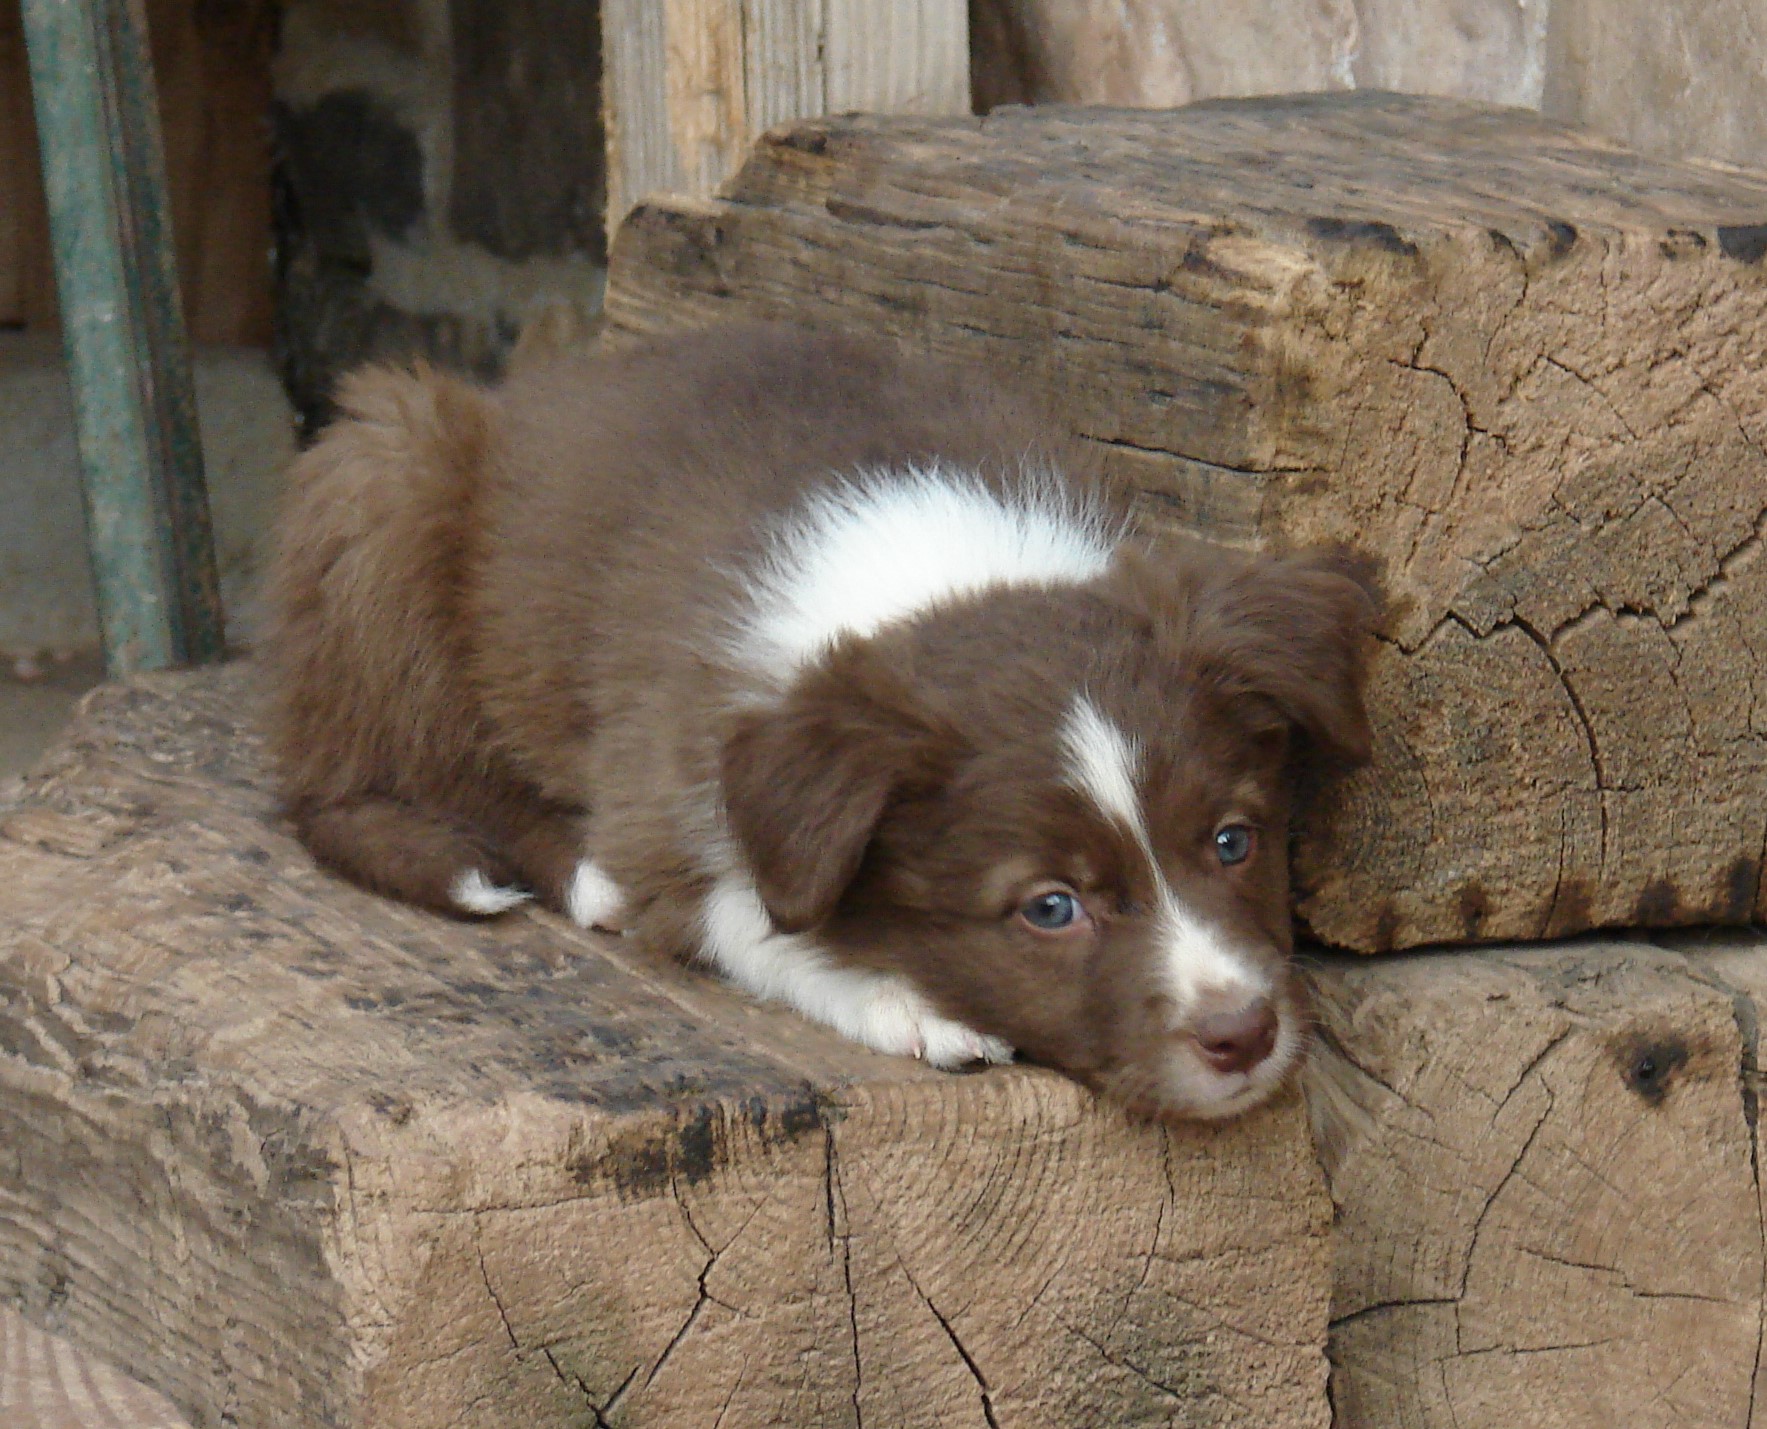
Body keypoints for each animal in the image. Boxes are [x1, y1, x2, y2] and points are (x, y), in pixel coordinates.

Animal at [261, 319, 1371, 1116]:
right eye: (1049, 908)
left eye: (1233, 841)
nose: (1240, 1034)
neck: (932, 572)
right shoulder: (666, 789)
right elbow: (748, 917)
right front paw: (902, 997)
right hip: (387, 468)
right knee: (388, 776)